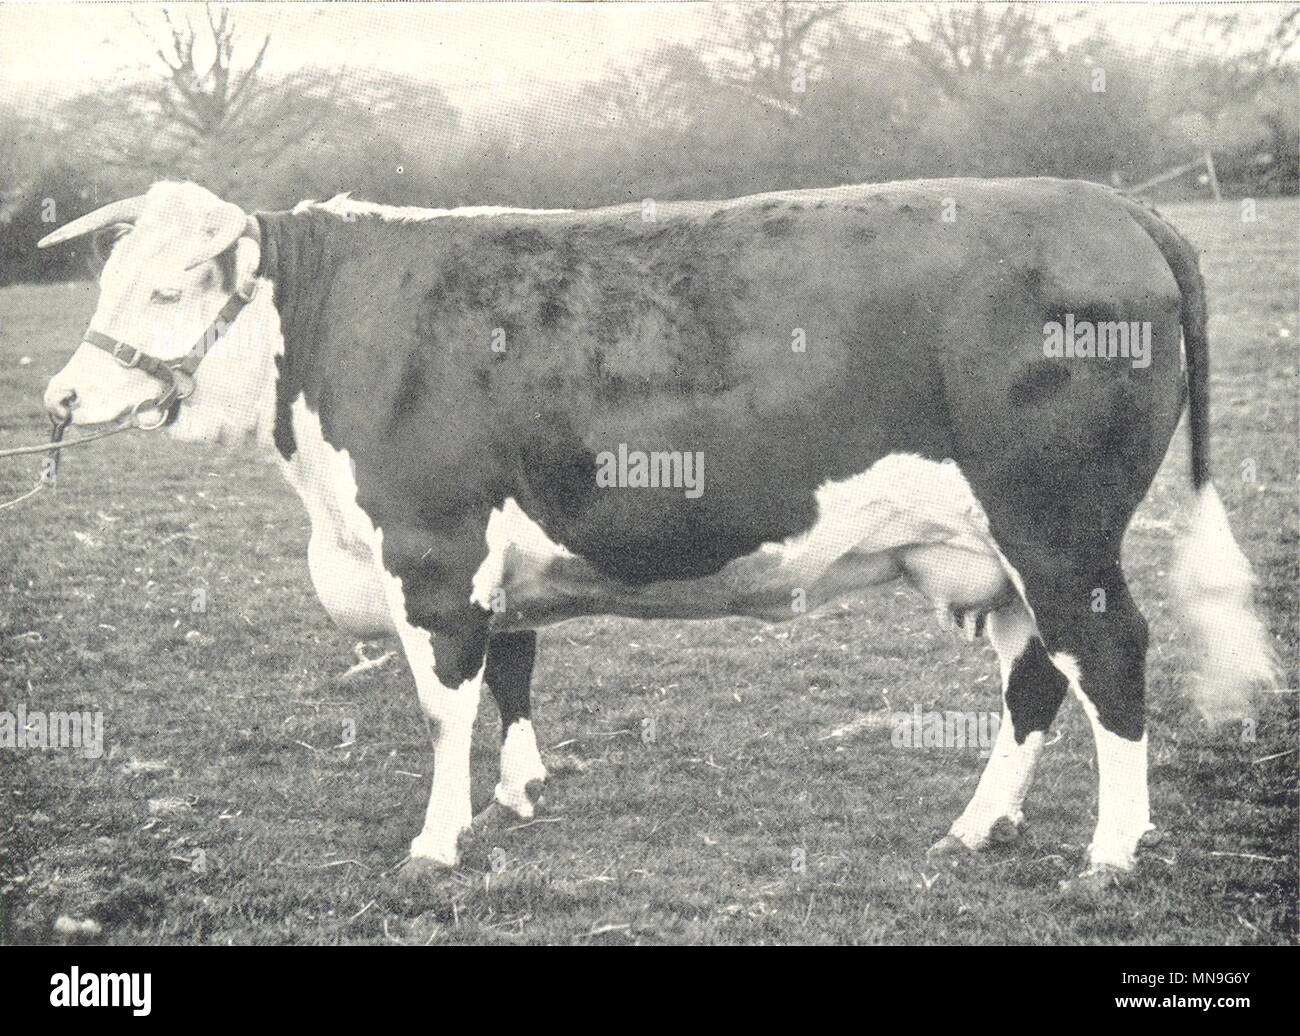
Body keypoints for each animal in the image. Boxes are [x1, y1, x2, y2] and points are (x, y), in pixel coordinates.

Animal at [38, 179, 1268, 889]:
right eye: (109, 277)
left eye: (165, 290)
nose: (58, 394)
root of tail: (1104, 202)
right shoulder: (493, 560)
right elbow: (514, 671)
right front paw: (517, 793)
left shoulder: (432, 555)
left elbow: (442, 708)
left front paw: (436, 843)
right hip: (1003, 553)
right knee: (1033, 678)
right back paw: (976, 827)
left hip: (1060, 531)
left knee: (1108, 660)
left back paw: (1109, 852)